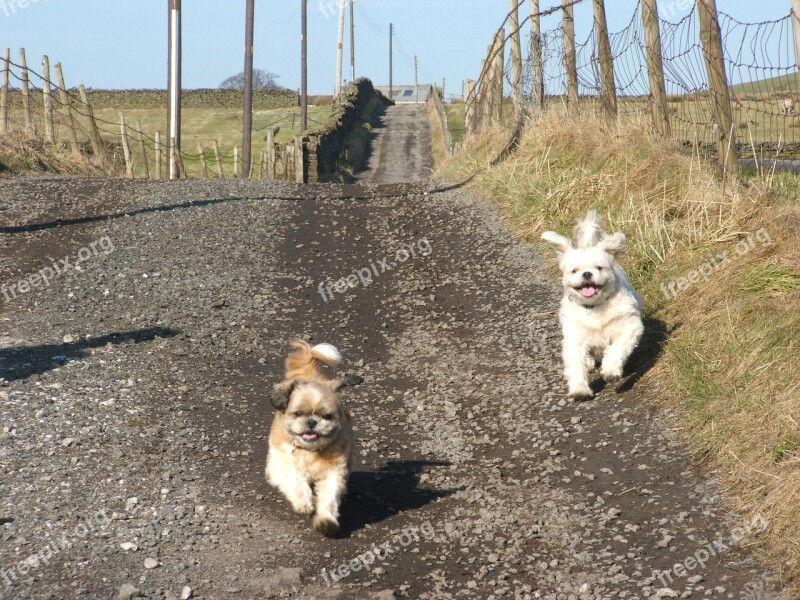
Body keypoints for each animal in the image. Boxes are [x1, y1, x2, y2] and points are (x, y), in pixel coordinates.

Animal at [266, 340, 362, 536]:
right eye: (298, 413)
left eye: (327, 416)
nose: (311, 422)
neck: (310, 452)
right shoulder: (281, 464)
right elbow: (295, 481)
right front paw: (304, 503)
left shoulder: (334, 473)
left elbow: (329, 496)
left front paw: (326, 521)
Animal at [540, 209, 648, 400]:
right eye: (574, 270)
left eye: (599, 267)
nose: (587, 274)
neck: (594, 307)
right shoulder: (574, 338)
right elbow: (576, 364)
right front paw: (580, 389)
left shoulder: (630, 326)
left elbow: (617, 348)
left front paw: (611, 370)